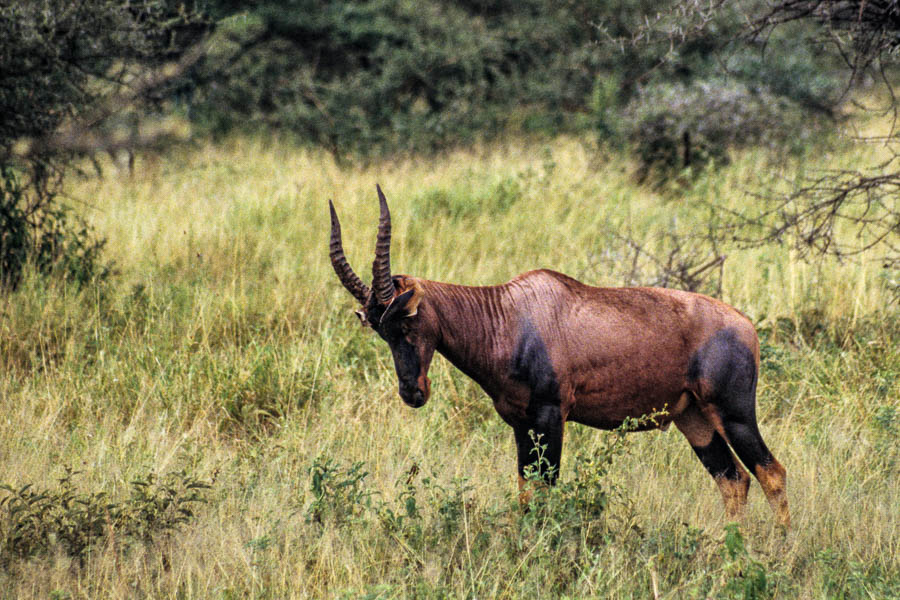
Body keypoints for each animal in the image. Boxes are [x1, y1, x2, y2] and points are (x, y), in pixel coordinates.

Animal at [328, 184, 788, 524]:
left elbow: (546, 491)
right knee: (733, 480)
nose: (413, 393)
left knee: (771, 473)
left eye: (406, 320)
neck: (510, 314)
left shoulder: (551, 416)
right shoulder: (520, 424)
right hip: (693, 419)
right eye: (380, 330)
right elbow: (526, 493)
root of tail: (747, 326)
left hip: (733, 412)